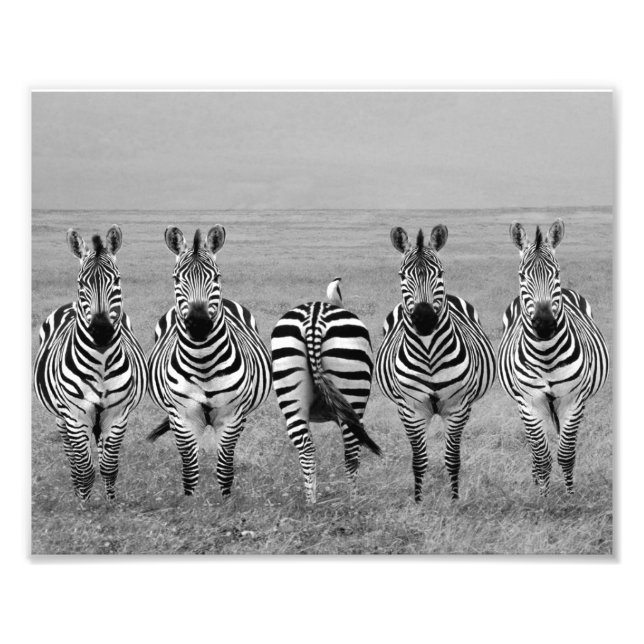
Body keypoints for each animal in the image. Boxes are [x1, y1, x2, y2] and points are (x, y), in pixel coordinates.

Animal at [33, 226, 148, 501]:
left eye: (116, 280)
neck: (101, 364)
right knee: (72, 457)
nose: (101, 331)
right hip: (61, 417)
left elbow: (108, 464)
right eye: (81, 283)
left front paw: (111, 502)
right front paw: (83, 504)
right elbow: (84, 467)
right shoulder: (74, 415)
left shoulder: (118, 414)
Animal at [147, 226, 272, 497]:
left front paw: (226, 500)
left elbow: (225, 467)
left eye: (216, 276)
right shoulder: (182, 418)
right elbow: (189, 469)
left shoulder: (231, 417)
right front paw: (190, 502)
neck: (203, 362)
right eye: (176, 279)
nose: (199, 323)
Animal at [271, 277, 381, 503]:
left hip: (290, 388)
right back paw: (354, 502)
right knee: (351, 451)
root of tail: (314, 316)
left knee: (306, 447)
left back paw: (311, 503)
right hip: (353, 393)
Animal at [375, 226, 496, 502]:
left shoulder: (458, 408)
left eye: (440, 273)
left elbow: (452, 458)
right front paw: (419, 501)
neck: (429, 353)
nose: (424, 319)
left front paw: (454, 499)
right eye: (402, 275)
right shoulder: (411, 410)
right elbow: (419, 460)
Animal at [498, 219, 609, 496]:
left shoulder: (574, 400)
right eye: (522, 276)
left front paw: (570, 496)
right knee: (534, 447)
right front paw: (543, 497)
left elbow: (566, 454)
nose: (545, 324)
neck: (546, 354)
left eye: (556, 273)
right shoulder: (529, 402)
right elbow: (541, 455)